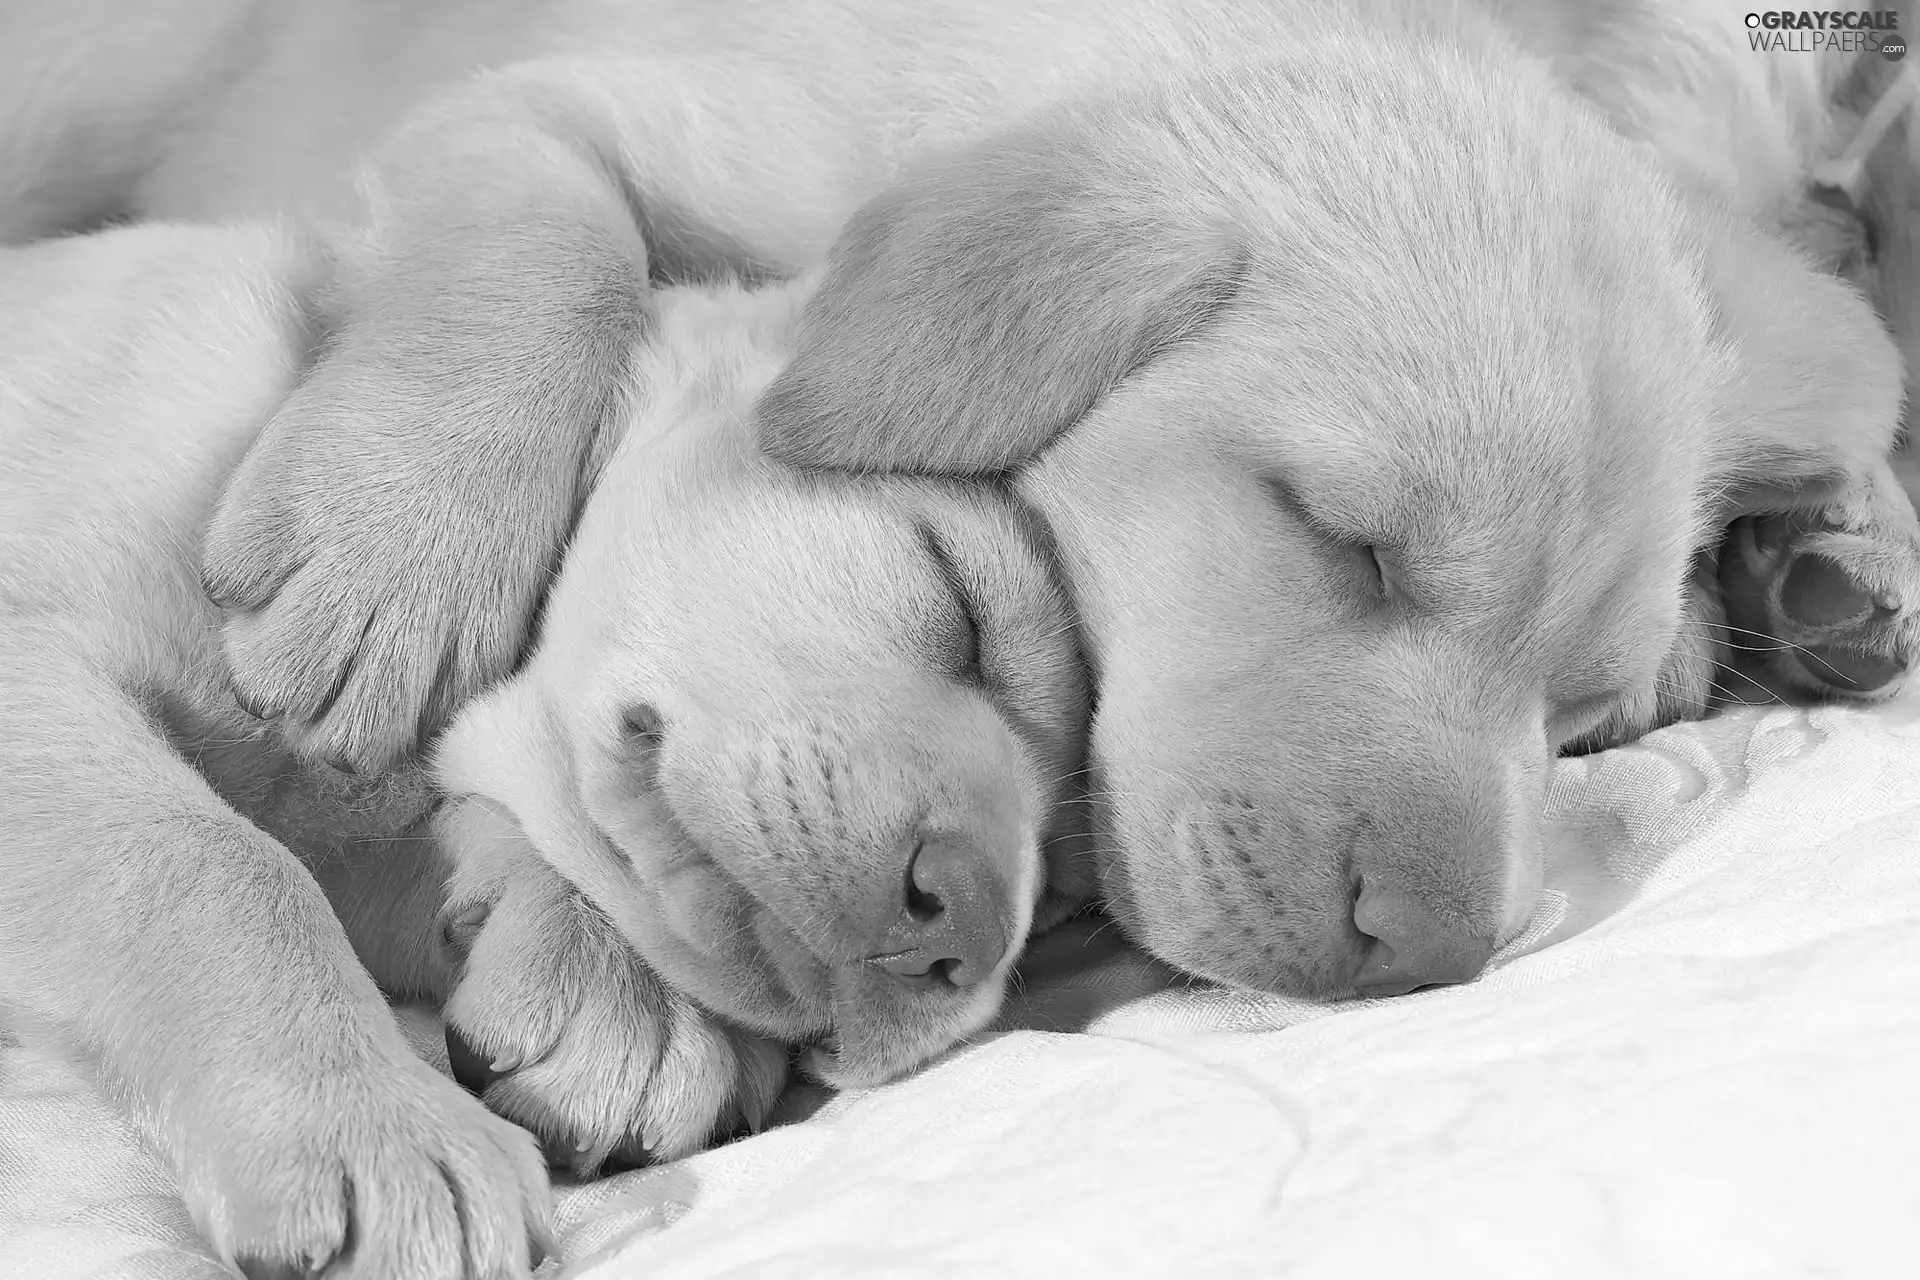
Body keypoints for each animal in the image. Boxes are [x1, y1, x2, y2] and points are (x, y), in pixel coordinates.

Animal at [0, 225, 1082, 1274]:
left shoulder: (357, 820)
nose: (971, 932)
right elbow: (217, 860)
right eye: (959, 602)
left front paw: (627, 995)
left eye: (1067, 906)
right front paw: (375, 1119)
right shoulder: (38, 673)